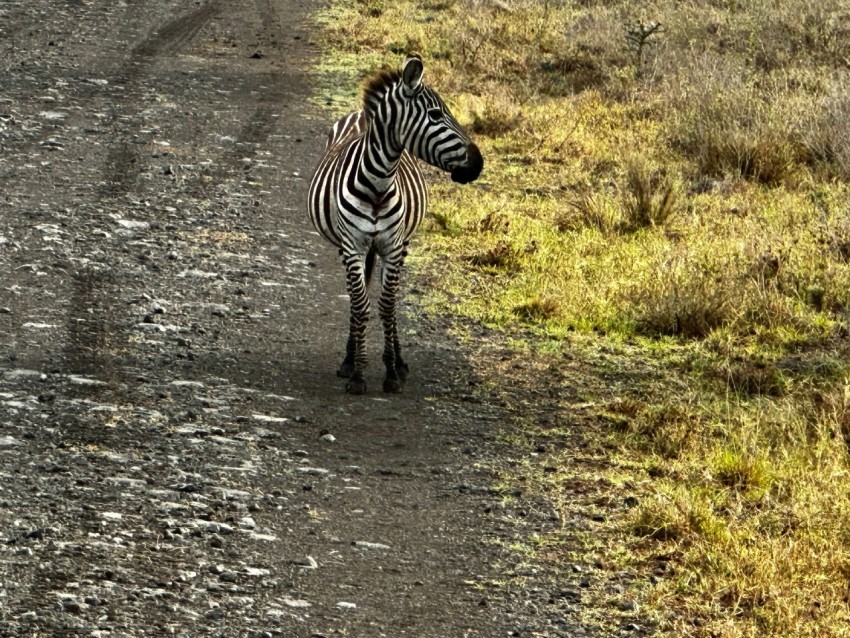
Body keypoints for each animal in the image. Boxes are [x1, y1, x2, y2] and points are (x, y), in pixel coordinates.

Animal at [307, 53, 483, 394]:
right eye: (436, 114)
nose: (478, 163)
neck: (377, 183)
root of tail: (359, 114)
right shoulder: (352, 246)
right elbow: (360, 305)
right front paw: (358, 372)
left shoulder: (392, 245)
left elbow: (387, 306)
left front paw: (391, 370)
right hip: (348, 247)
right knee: (355, 298)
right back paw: (349, 358)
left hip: (402, 245)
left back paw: (399, 361)